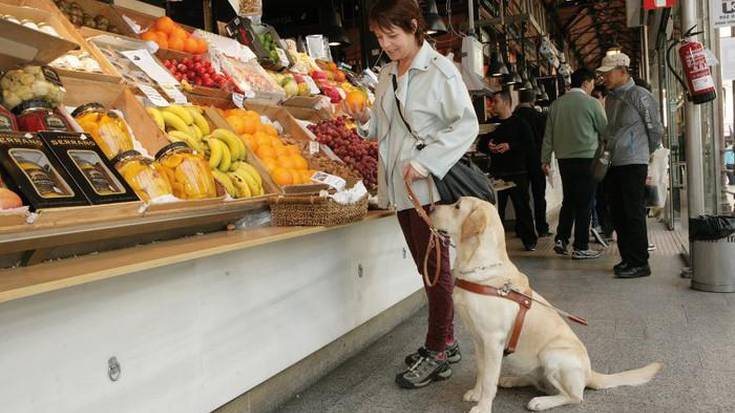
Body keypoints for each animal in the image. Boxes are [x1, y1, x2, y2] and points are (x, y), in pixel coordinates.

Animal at [432, 198, 660, 410]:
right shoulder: (478, 339)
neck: (479, 267)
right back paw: (511, 380)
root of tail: (590, 373)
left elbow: (489, 379)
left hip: (552, 356)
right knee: (536, 381)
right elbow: (482, 371)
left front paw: (483, 406)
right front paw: (475, 393)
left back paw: (541, 402)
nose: (431, 207)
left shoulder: (492, 341)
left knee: (574, 396)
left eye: (457, 206)